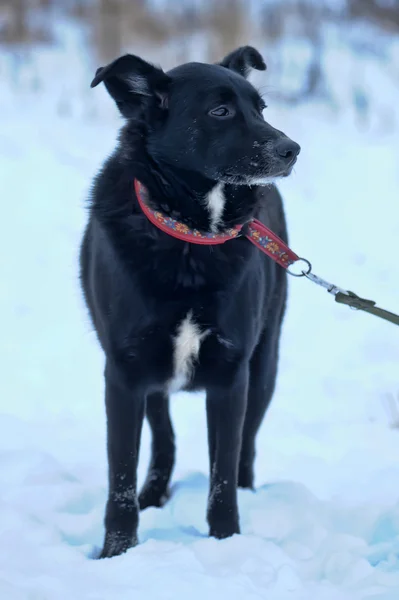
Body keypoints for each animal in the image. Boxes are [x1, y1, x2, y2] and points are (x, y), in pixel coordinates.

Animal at [80, 45, 300, 556]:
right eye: (220, 112)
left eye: (261, 109)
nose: (291, 149)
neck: (191, 238)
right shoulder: (124, 374)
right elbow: (121, 476)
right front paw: (116, 551)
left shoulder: (231, 375)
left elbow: (223, 474)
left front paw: (226, 542)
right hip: (155, 381)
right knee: (164, 440)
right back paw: (154, 494)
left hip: (264, 367)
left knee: (245, 448)